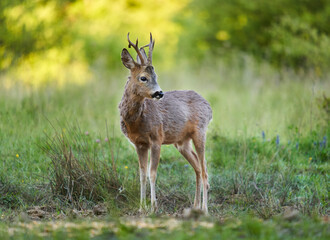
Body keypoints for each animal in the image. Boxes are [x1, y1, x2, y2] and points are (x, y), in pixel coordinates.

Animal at [120, 32, 213, 213]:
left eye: (156, 76)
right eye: (143, 78)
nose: (159, 93)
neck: (137, 122)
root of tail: (208, 106)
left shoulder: (156, 138)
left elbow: (152, 173)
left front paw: (153, 207)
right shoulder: (139, 144)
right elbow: (142, 174)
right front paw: (141, 208)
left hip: (200, 132)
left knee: (205, 170)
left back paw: (205, 210)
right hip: (182, 142)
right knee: (197, 168)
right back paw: (195, 206)